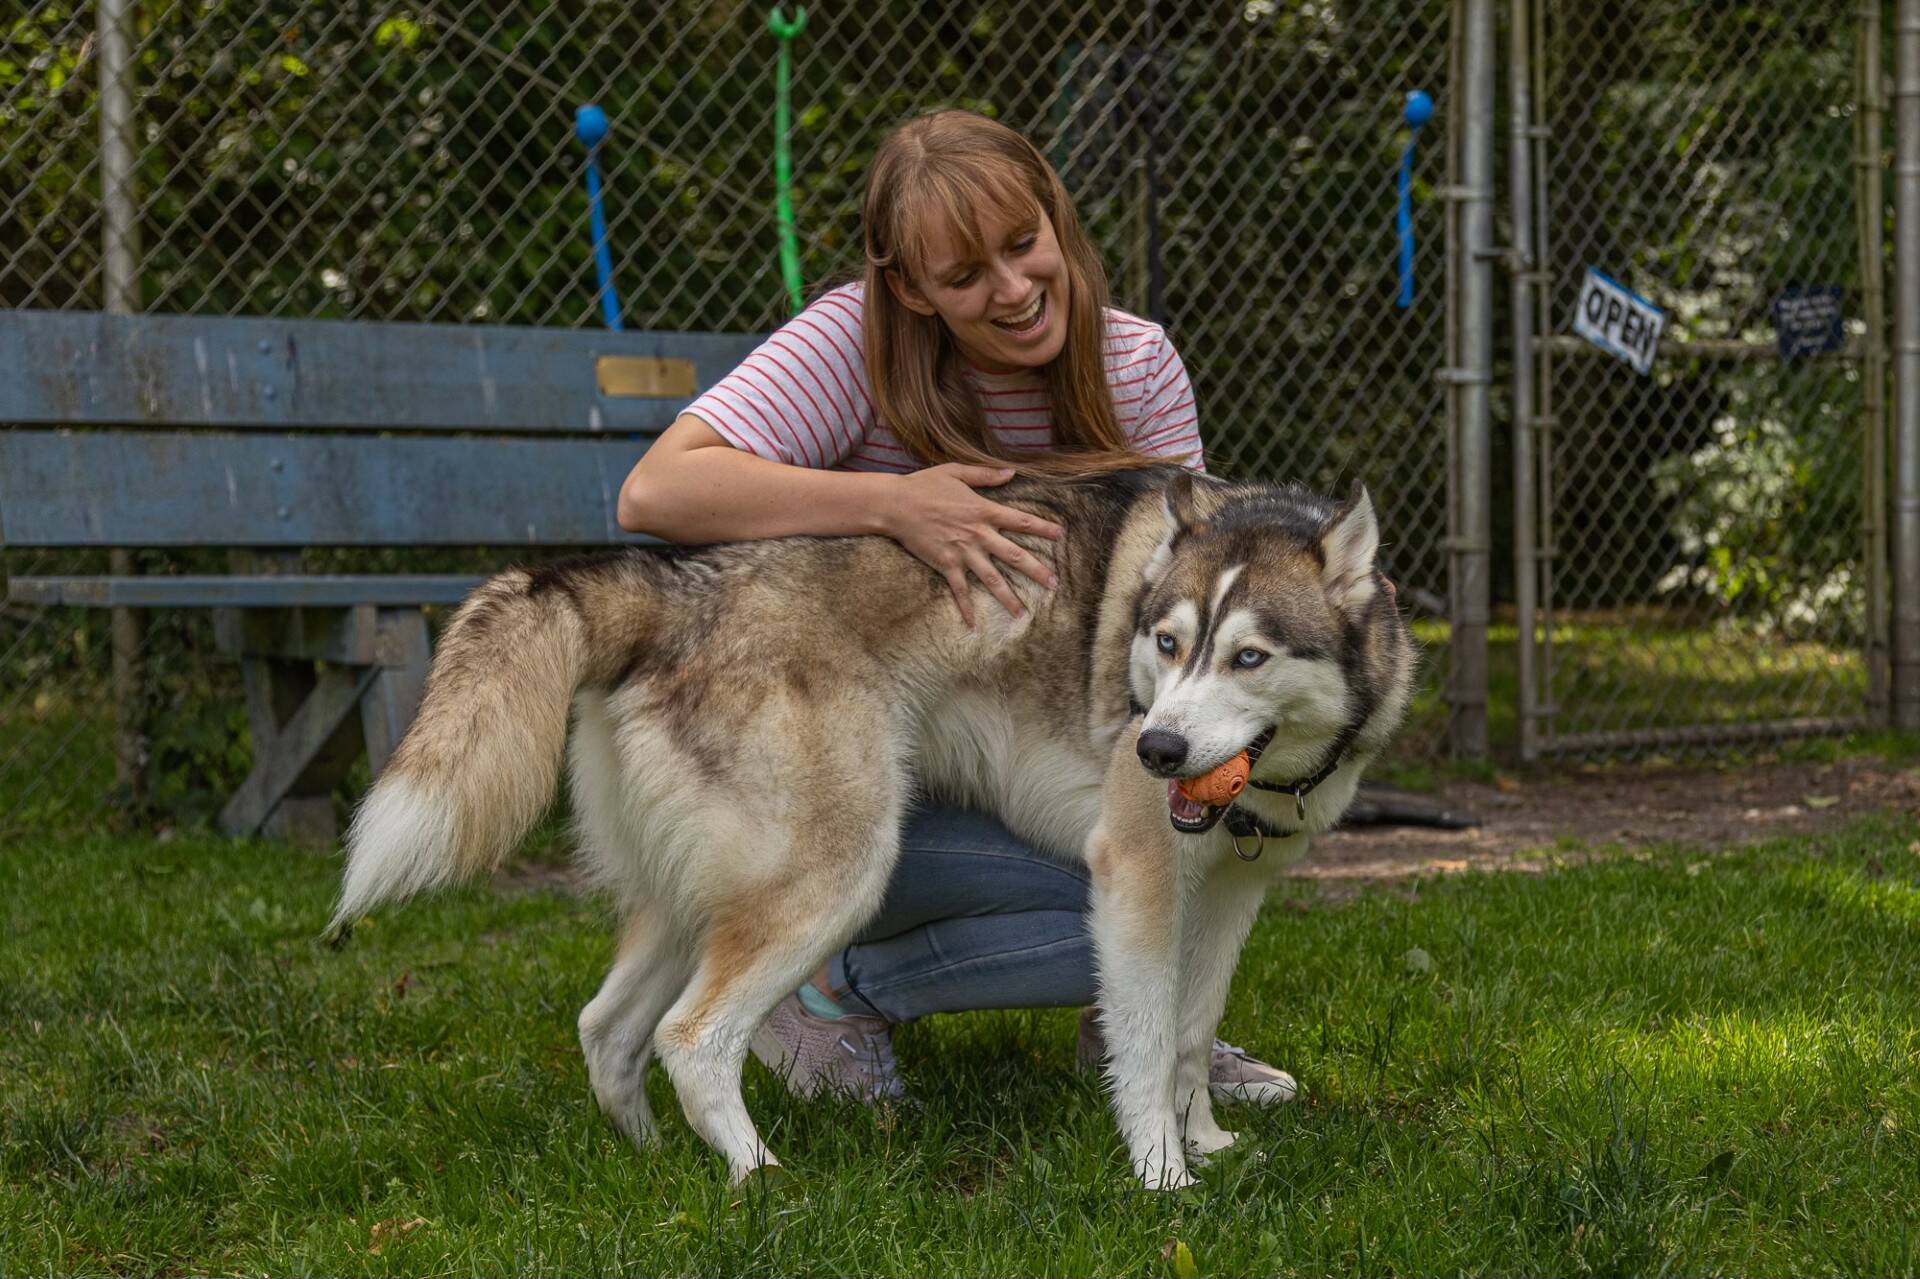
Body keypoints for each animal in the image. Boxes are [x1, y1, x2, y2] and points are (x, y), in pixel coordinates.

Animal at [326, 466, 1413, 1182]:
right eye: (1168, 642)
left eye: (1249, 656)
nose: (1154, 747)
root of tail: (668, 584)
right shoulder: (1138, 879)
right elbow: (1145, 1044)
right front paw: (1163, 1175)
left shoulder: (1229, 893)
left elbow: (1192, 1032)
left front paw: (1211, 1145)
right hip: (835, 876)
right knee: (692, 1037)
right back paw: (763, 1182)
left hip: (697, 898)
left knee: (608, 1028)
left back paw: (654, 1162)